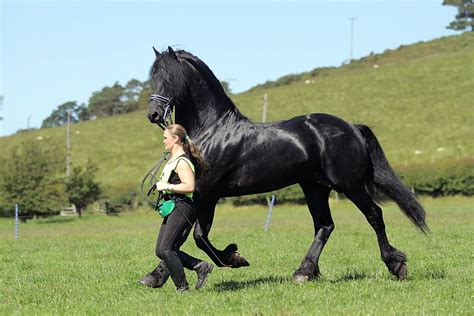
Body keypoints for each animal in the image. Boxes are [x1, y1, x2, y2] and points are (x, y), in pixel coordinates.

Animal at [146, 47, 428, 282]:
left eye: (168, 78)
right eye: (153, 77)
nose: (153, 114)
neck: (212, 130)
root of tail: (352, 128)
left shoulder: (206, 193)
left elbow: (197, 238)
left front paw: (234, 257)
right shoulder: (198, 195)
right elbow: (178, 239)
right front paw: (156, 276)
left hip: (350, 185)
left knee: (374, 216)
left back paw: (396, 266)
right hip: (315, 187)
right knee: (324, 226)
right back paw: (305, 272)